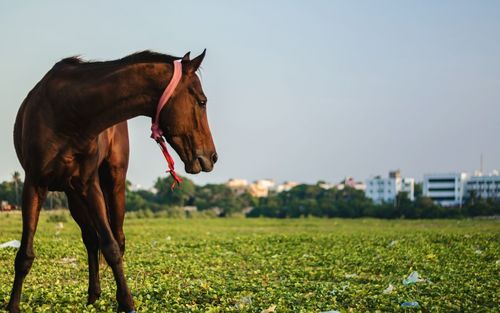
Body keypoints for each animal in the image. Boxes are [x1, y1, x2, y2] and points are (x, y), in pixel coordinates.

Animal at [6, 50, 217, 310]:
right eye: (202, 101)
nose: (212, 157)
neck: (70, 112)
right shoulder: (34, 184)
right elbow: (25, 254)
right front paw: (13, 306)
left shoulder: (90, 186)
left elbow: (112, 246)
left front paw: (126, 303)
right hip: (73, 195)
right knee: (90, 239)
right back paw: (92, 296)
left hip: (113, 184)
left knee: (117, 237)